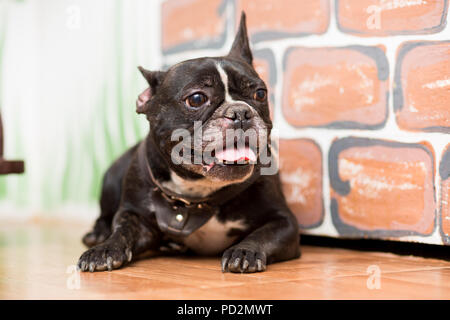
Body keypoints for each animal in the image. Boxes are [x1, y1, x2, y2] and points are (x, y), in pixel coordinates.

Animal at [78, 13, 298, 272]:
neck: (198, 194)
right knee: (104, 216)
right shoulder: (134, 215)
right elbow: (122, 230)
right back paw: (98, 235)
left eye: (260, 94)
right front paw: (105, 248)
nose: (240, 113)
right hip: (112, 178)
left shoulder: (285, 222)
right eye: (196, 99)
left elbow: (263, 235)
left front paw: (246, 251)